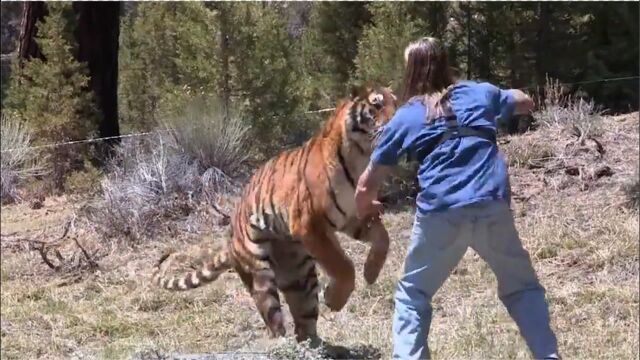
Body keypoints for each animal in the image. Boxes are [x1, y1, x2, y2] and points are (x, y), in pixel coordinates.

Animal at [152, 86, 398, 342]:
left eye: (396, 102)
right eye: (377, 105)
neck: (361, 157)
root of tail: (230, 241)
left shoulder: (354, 216)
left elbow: (383, 238)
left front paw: (370, 273)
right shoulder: (309, 223)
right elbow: (343, 265)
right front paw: (335, 300)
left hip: (301, 276)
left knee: (304, 320)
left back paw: (313, 345)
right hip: (260, 274)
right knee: (274, 321)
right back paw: (281, 342)